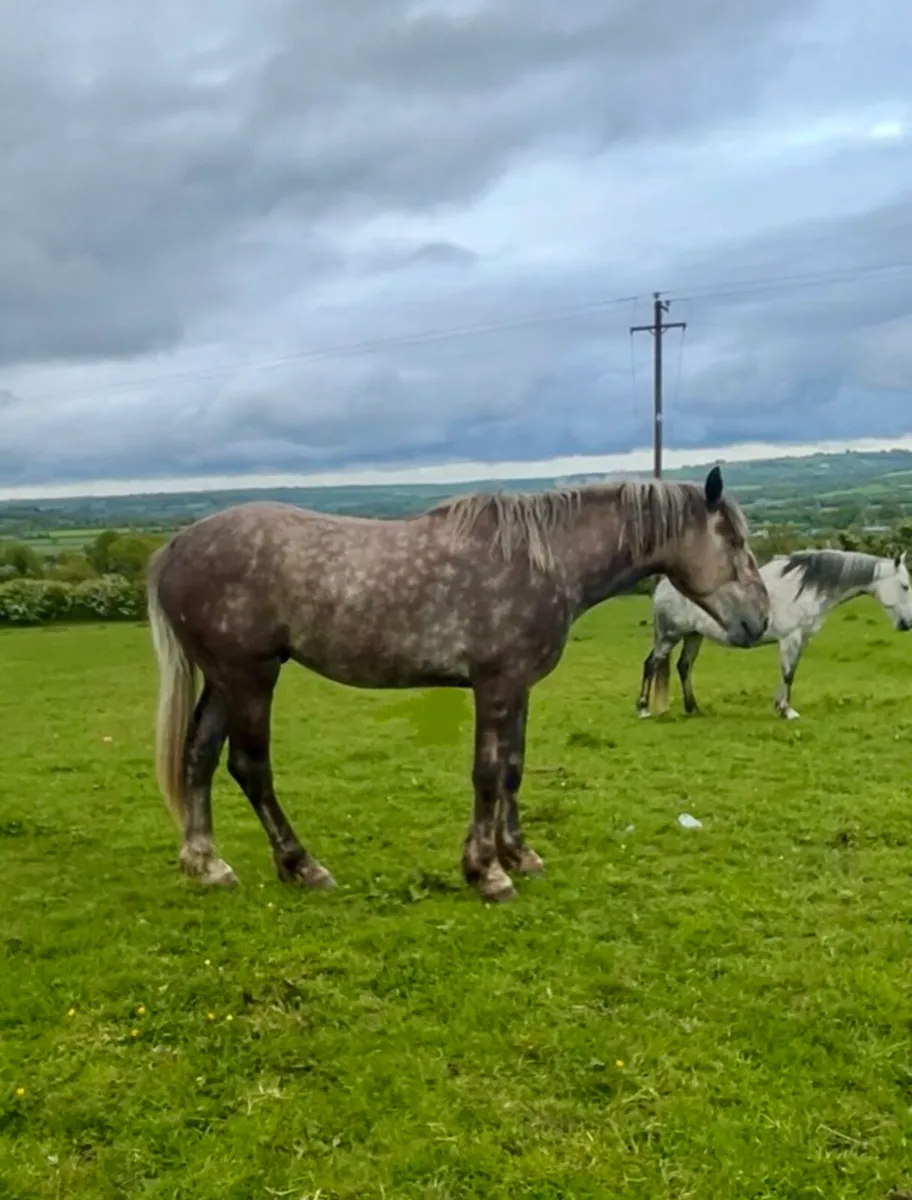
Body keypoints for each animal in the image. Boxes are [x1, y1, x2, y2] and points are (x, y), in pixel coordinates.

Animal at [146, 465, 770, 903]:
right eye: (735, 542)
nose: (759, 621)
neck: (544, 561)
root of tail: (173, 549)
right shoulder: (496, 685)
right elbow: (488, 774)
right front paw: (486, 872)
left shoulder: (518, 687)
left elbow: (512, 769)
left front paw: (518, 855)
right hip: (250, 676)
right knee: (249, 767)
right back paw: (302, 865)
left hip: (226, 679)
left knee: (198, 757)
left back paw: (208, 864)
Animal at [637, 548, 912, 721]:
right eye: (905, 586)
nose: (907, 624)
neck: (806, 588)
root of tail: (664, 584)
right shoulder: (791, 637)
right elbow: (788, 673)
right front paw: (787, 711)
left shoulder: (801, 639)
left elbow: (790, 673)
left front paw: (781, 707)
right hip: (668, 635)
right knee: (651, 664)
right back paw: (643, 709)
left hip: (694, 635)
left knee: (684, 666)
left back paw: (693, 708)